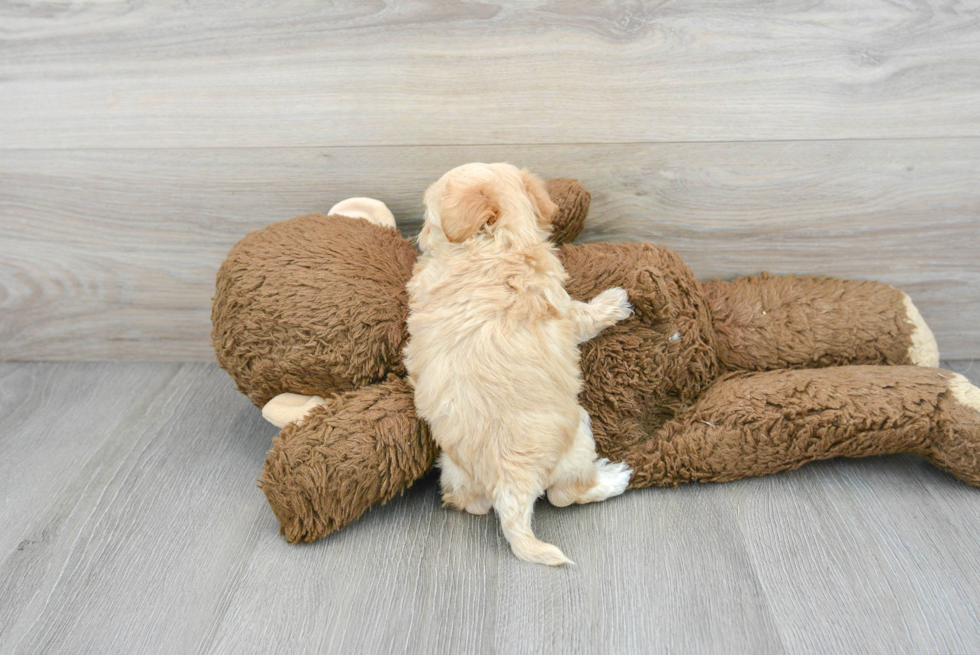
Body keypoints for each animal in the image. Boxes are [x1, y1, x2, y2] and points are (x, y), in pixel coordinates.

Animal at [406, 163, 636, 564]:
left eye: (428, 219)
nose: (417, 236)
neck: (492, 244)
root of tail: (511, 484)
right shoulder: (563, 308)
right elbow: (585, 315)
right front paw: (614, 303)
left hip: (453, 468)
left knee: (469, 502)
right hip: (579, 433)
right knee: (563, 494)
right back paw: (614, 478)